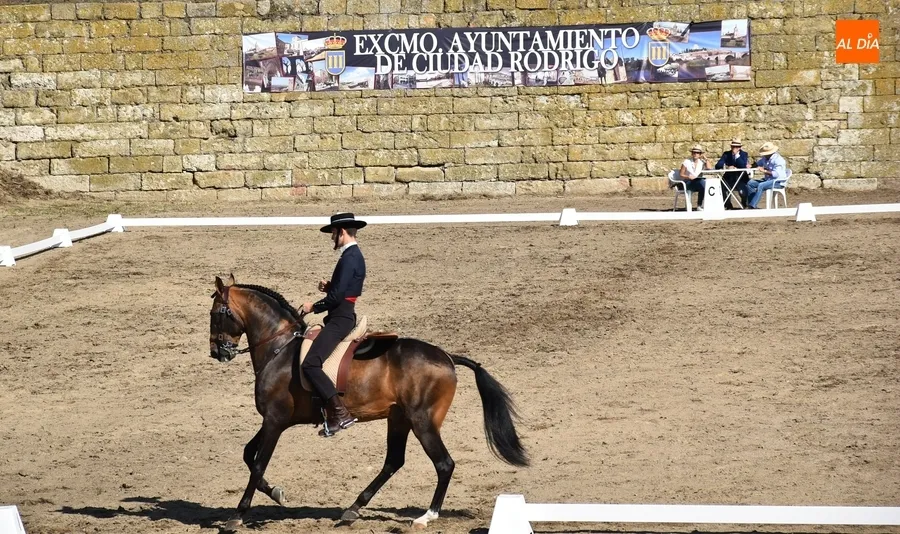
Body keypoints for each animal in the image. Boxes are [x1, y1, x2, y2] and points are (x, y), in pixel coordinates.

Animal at [208, 274, 528, 531]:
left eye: (216, 313)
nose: (217, 353)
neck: (279, 348)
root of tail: (447, 357)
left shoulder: (275, 420)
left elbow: (258, 463)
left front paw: (237, 515)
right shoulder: (275, 420)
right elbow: (248, 455)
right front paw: (276, 492)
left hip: (422, 422)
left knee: (444, 464)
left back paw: (426, 517)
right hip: (398, 419)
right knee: (394, 461)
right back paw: (353, 509)